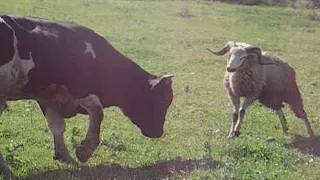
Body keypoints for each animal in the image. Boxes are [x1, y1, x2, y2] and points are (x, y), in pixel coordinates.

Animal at [0, 14, 174, 179]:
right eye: (161, 101)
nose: (159, 132)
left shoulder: (47, 97)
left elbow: (57, 126)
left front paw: (64, 156)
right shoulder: (80, 88)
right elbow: (98, 112)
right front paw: (85, 151)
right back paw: (7, 171)